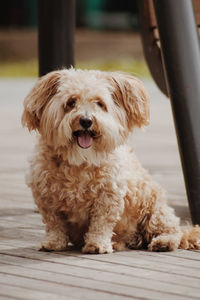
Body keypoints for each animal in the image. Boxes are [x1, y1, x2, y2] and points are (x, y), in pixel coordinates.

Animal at [21, 68, 200, 253]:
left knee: (172, 231)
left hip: (154, 209)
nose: (86, 121)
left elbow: (101, 223)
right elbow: (54, 224)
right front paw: (53, 242)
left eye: (100, 103)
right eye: (71, 102)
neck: (79, 161)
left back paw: (163, 242)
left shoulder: (108, 196)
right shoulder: (47, 198)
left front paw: (97, 244)